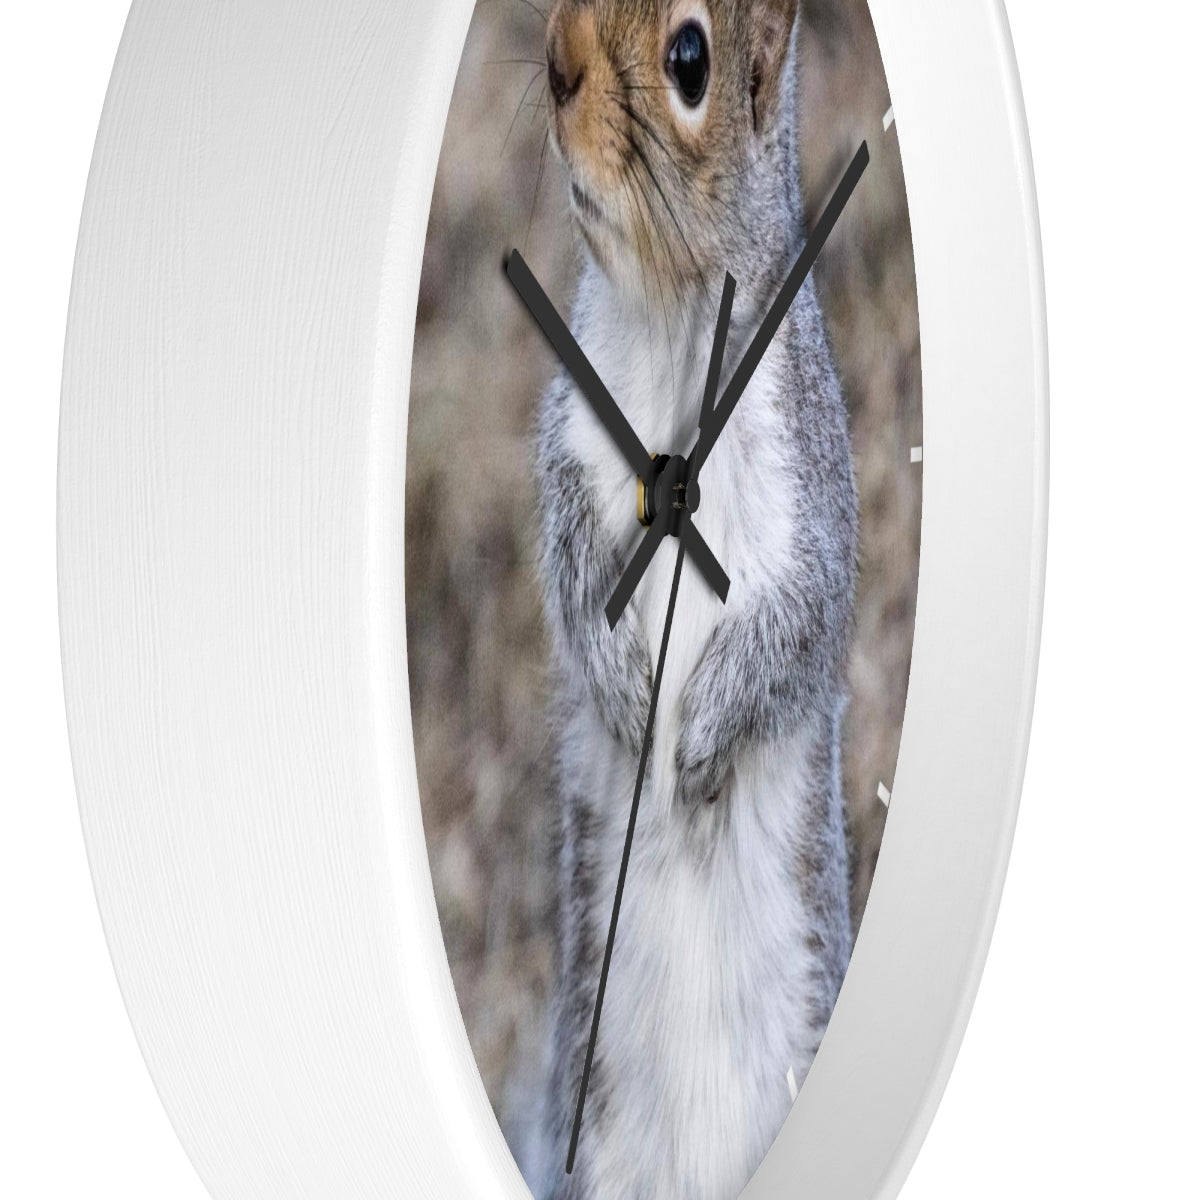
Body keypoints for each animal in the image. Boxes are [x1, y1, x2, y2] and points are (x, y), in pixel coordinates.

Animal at [523, 2, 858, 1196]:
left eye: (689, 60)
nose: (558, 62)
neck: (673, 317)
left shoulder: (814, 500)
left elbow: (798, 626)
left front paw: (701, 742)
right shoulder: (571, 446)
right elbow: (574, 562)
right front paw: (629, 695)